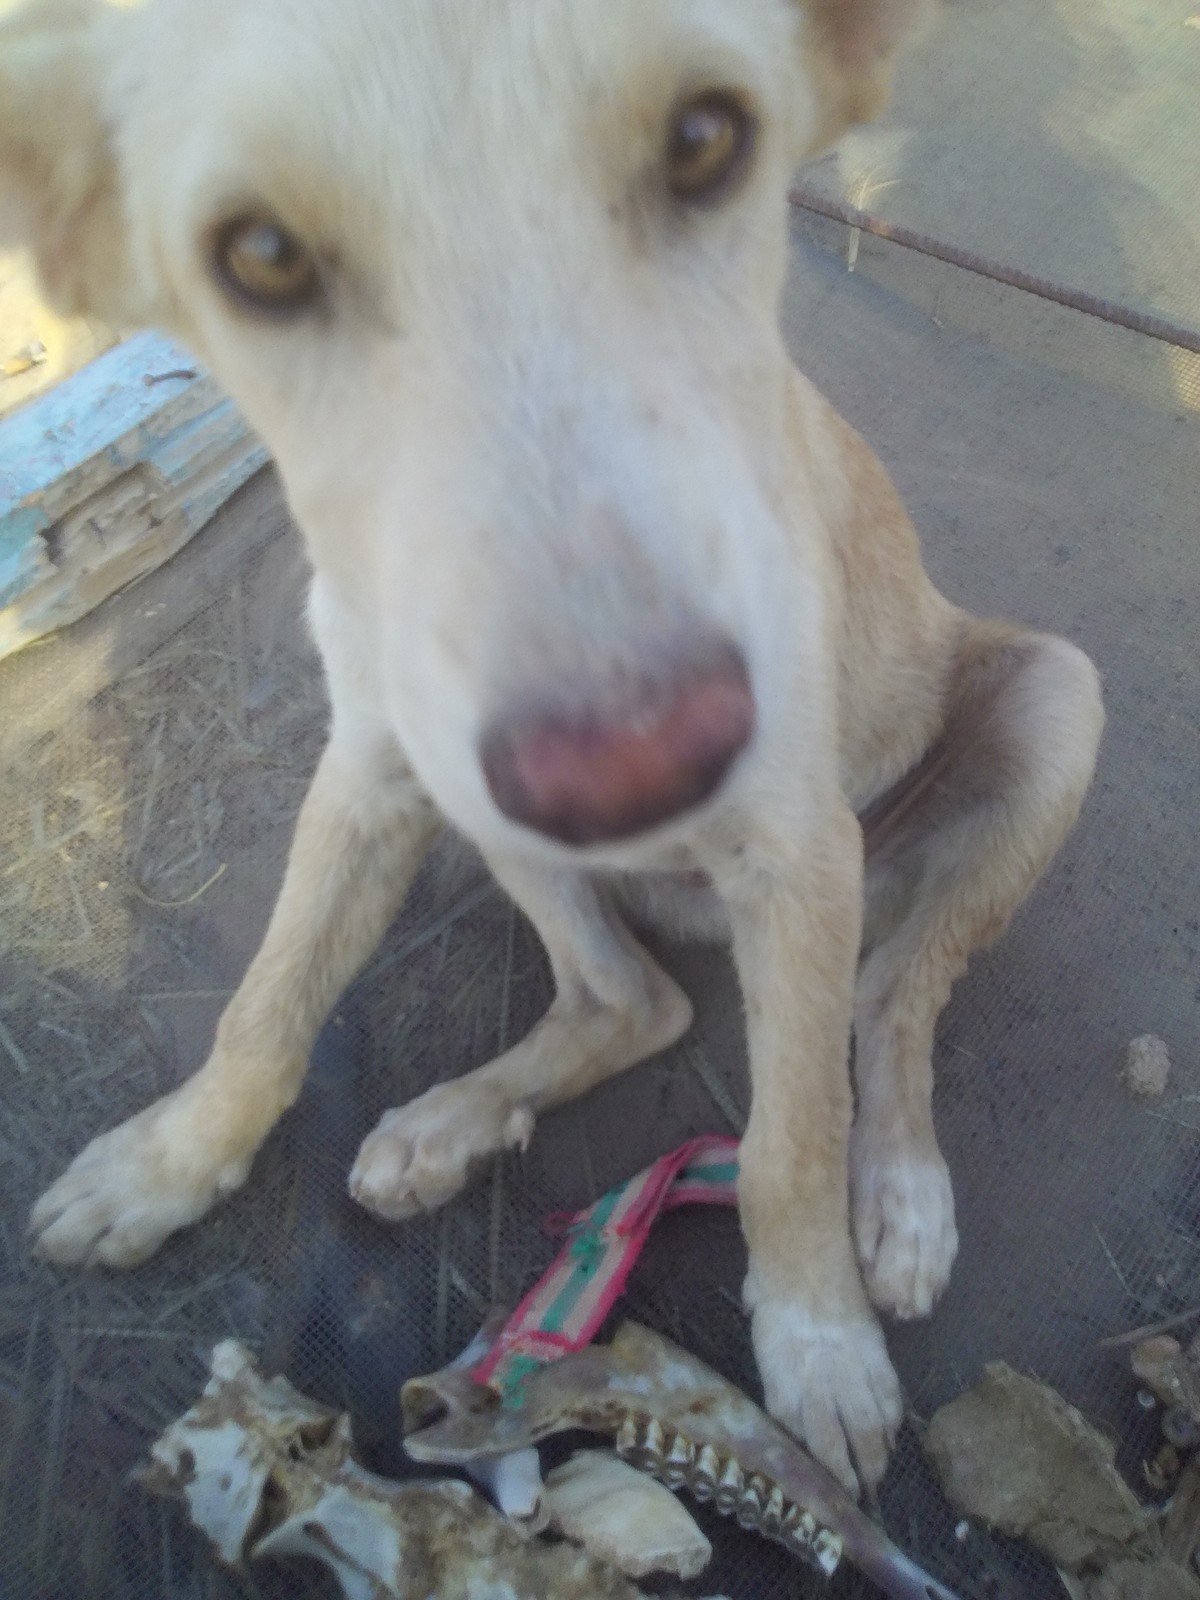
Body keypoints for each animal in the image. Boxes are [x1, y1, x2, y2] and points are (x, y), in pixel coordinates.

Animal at [2, 0, 1103, 1494]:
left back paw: (901, 1197)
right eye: (261, 255)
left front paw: (818, 1342)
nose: (631, 762)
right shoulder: (378, 770)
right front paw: (165, 1165)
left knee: (890, 993)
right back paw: (444, 1126)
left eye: (705, 139)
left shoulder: (796, 845)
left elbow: (788, 1144)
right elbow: (266, 1005)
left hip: (1049, 704)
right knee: (632, 998)